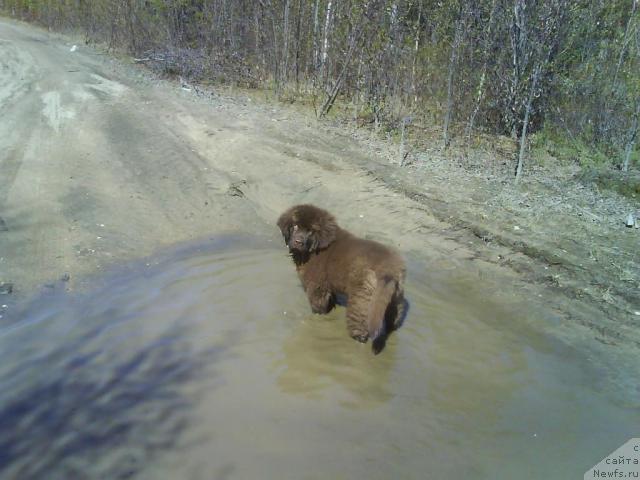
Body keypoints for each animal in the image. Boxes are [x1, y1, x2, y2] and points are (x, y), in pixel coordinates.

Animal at [276, 204, 404, 354]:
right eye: (295, 226)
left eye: (311, 231)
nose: (298, 242)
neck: (315, 248)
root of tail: (389, 269)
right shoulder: (327, 286)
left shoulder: (316, 285)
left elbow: (318, 305)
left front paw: (318, 316)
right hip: (394, 297)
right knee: (394, 318)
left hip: (361, 299)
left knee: (360, 329)